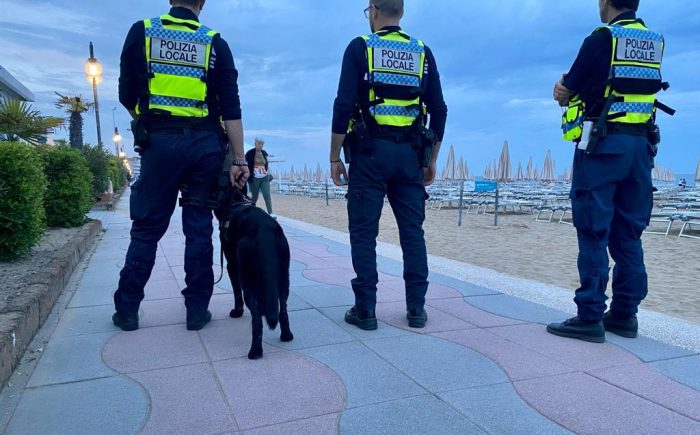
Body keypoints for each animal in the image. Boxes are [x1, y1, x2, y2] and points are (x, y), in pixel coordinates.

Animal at [219, 189, 296, 360]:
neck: (236, 201)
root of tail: (264, 231)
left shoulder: (232, 266)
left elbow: (236, 293)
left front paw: (237, 311)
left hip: (248, 280)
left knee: (256, 319)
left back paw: (255, 351)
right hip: (284, 278)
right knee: (283, 309)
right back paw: (286, 335)